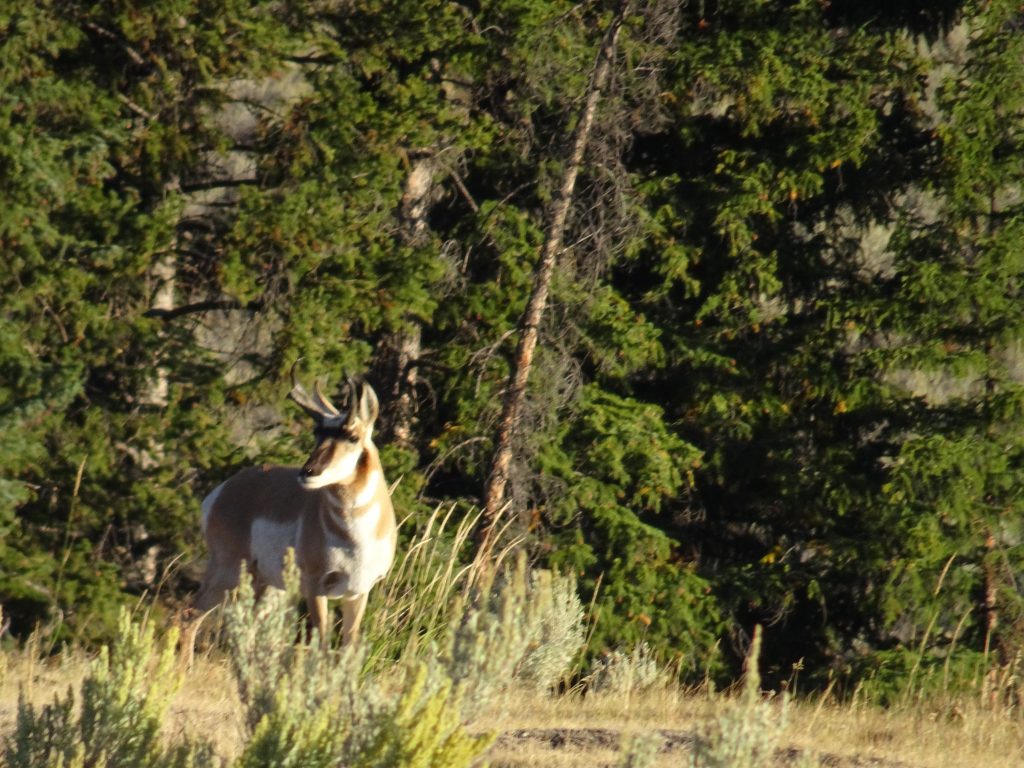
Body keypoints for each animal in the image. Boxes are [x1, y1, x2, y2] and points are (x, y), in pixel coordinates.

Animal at [182, 364, 393, 663]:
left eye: (353, 436)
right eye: (318, 432)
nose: (308, 472)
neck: (355, 538)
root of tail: (223, 490)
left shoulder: (358, 592)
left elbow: (347, 649)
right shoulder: (316, 587)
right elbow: (322, 645)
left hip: (266, 586)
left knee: (247, 628)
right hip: (231, 573)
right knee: (190, 615)